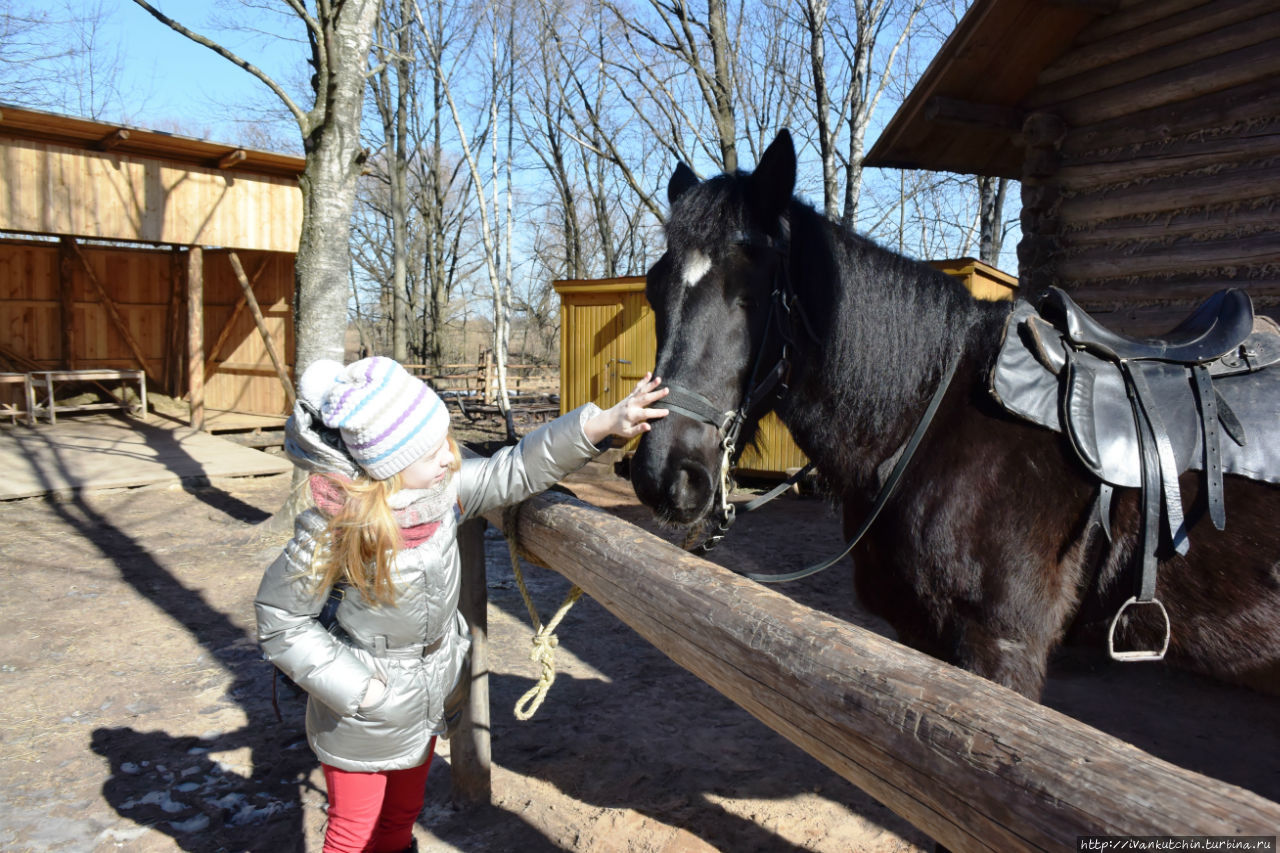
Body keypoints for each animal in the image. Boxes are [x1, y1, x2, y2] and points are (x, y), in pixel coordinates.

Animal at [632, 128, 1280, 696]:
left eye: (750, 292)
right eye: (655, 288)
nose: (665, 473)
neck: (925, 421)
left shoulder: (1001, 646)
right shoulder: (924, 637)